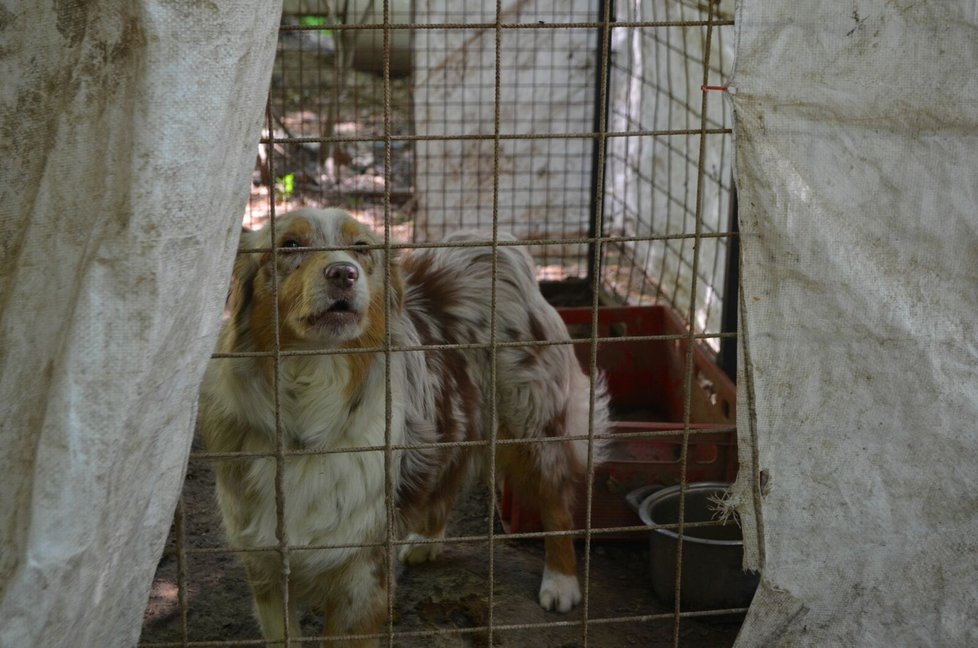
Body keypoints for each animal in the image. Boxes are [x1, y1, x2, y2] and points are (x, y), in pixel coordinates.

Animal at [198, 210, 608, 644]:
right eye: (290, 244)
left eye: (362, 248)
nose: (343, 272)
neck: (310, 400)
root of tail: (490, 242)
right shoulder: (268, 574)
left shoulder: (362, 579)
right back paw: (425, 540)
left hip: (532, 424)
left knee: (556, 501)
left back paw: (561, 582)